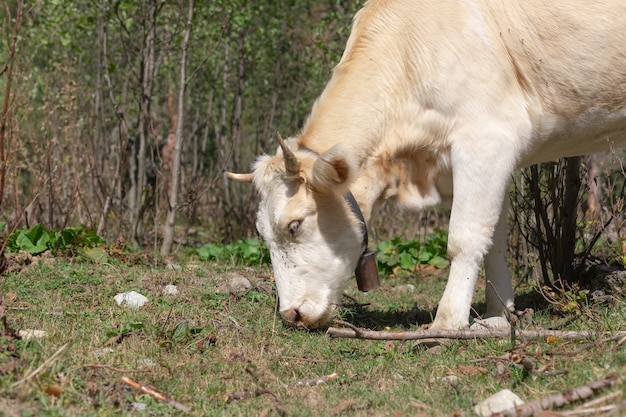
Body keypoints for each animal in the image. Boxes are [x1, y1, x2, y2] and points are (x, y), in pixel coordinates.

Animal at [228, 0, 624, 328]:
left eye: (294, 225)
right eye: (262, 232)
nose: (291, 314)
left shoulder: (486, 138)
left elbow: (465, 238)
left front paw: (448, 322)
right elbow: (494, 238)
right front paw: (497, 315)